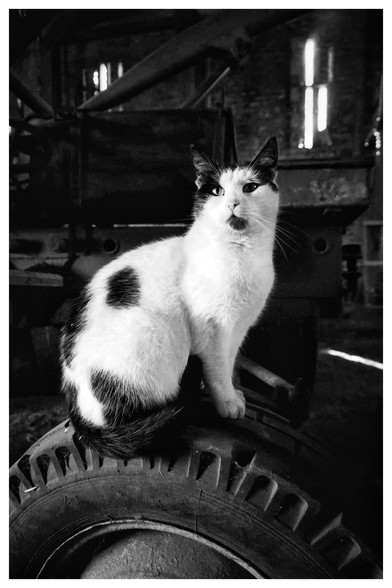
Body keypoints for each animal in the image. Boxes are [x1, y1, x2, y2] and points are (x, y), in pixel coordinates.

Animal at [59, 137, 278, 460]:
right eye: (217, 191)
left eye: (250, 187)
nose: (232, 203)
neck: (242, 253)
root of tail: (79, 417)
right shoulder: (212, 330)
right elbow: (218, 370)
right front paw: (226, 402)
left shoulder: (238, 330)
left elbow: (230, 364)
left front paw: (232, 392)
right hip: (156, 336)